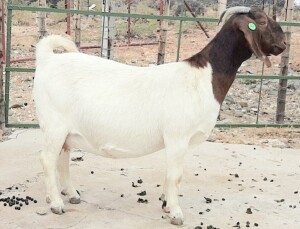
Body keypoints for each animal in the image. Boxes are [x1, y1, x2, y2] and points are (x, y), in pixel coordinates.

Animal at [33, 5, 286, 225]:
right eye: (262, 21)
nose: (284, 43)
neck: (205, 76)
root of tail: (48, 58)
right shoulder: (178, 136)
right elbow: (176, 175)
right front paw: (175, 213)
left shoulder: (174, 141)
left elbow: (169, 173)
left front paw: (165, 204)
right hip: (54, 124)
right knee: (47, 159)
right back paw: (56, 203)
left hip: (66, 129)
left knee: (63, 156)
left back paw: (71, 194)